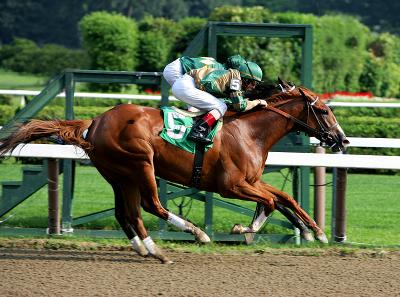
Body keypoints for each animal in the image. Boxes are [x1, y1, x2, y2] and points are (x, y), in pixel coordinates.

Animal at [0, 84, 346, 262]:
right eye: (324, 110)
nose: (342, 140)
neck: (249, 131)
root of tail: (94, 122)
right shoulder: (231, 185)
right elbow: (271, 202)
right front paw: (242, 229)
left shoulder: (252, 180)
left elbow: (285, 197)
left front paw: (315, 231)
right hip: (141, 164)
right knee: (150, 205)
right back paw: (188, 237)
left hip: (119, 174)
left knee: (125, 212)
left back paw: (145, 247)